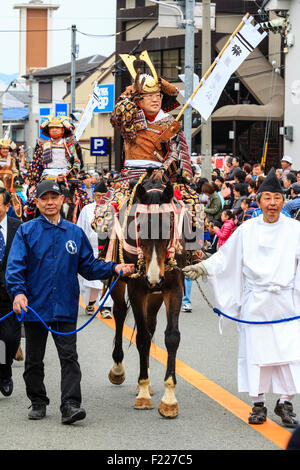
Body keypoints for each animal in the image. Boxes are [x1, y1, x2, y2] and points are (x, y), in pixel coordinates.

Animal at [104, 177, 186, 418]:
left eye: (169, 226)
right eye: (139, 226)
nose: (154, 277)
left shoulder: (173, 287)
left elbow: (171, 337)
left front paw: (169, 398)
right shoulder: (137, 288)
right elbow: (140, 338)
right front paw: (142, 392)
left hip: (156, 294)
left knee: (150, 326)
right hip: (120, 279)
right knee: (120, 313)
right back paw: (118, 368)